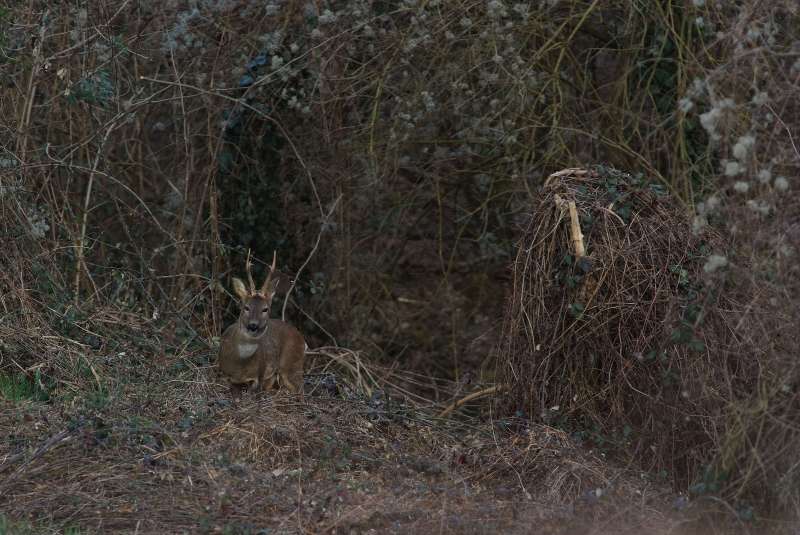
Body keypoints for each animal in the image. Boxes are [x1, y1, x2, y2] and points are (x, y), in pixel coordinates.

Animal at [217, 252, 304, 398]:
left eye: (265, 309)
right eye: (246, 307)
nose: (253, 326)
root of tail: (302, 339)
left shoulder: (260, 375)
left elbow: (256, 386)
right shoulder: (221, 370)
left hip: (291, 364)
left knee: (299, 390)